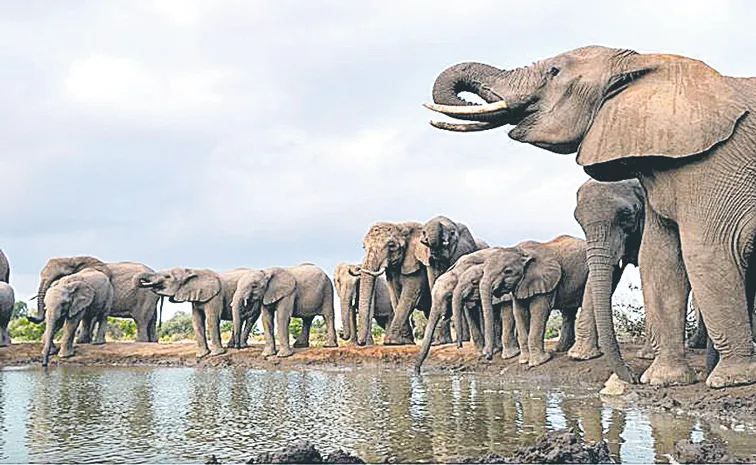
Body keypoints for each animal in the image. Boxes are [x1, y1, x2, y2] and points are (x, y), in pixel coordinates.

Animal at [29, 256, 162, 342]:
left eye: (58, 276)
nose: (30, 317)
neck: (73, 258)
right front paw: (85, 341)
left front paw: (82, 341)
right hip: (151, 297)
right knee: (152, 318)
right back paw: (153, 341)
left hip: (145, 295)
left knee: (141, 319)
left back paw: (141, 342)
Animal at [426, 45, 756, 388]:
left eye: (554, 71)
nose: (630, 378)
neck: (645, 64)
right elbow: (658, 261)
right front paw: (662, 379)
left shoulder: (715, 163)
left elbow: (707, 253)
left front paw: (730, 380)